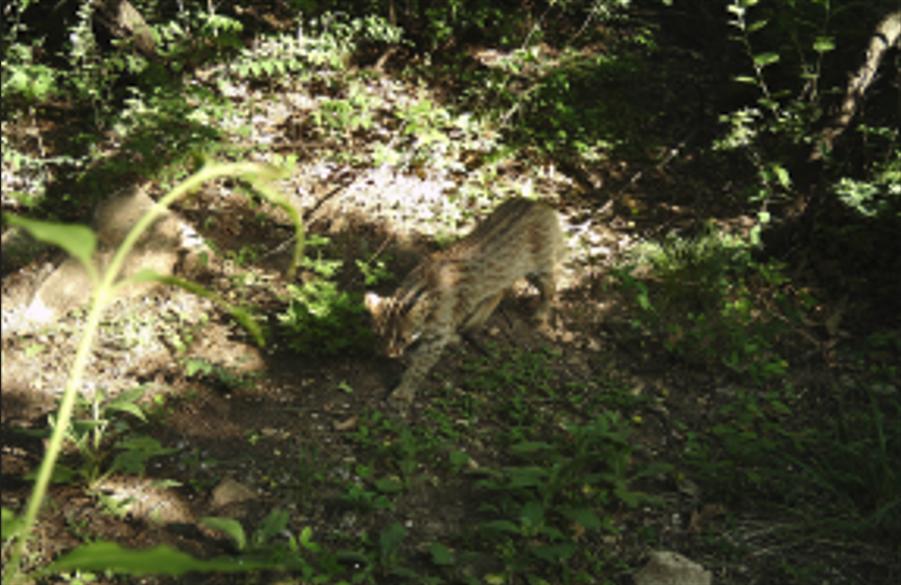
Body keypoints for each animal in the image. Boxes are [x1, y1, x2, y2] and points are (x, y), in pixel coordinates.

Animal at [364, 198, 564, 404]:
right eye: (377, 334)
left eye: (402, 339)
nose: (387, 356)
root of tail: (538, 202)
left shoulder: (437, 336)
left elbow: (419, 366)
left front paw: (404, 390)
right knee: (498, 291)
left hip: (539, 267)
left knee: (551, 287)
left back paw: (541, 314)